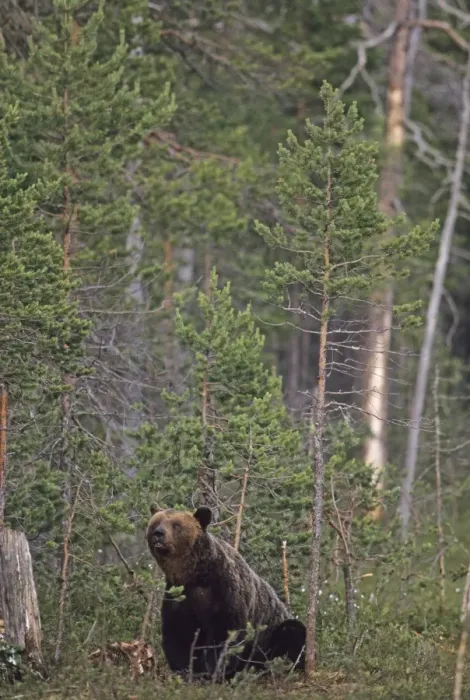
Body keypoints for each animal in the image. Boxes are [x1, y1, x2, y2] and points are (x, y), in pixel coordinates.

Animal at [146, 505, 306, 681]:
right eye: (156, 523)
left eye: (176, 525)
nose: (158, 533)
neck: (195, 575)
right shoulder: (179, 596)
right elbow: (178, 634)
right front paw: (185, 670)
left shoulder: (225, 592)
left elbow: (226, 633)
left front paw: (213, 670)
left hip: (270, 637)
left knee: (292, 631)